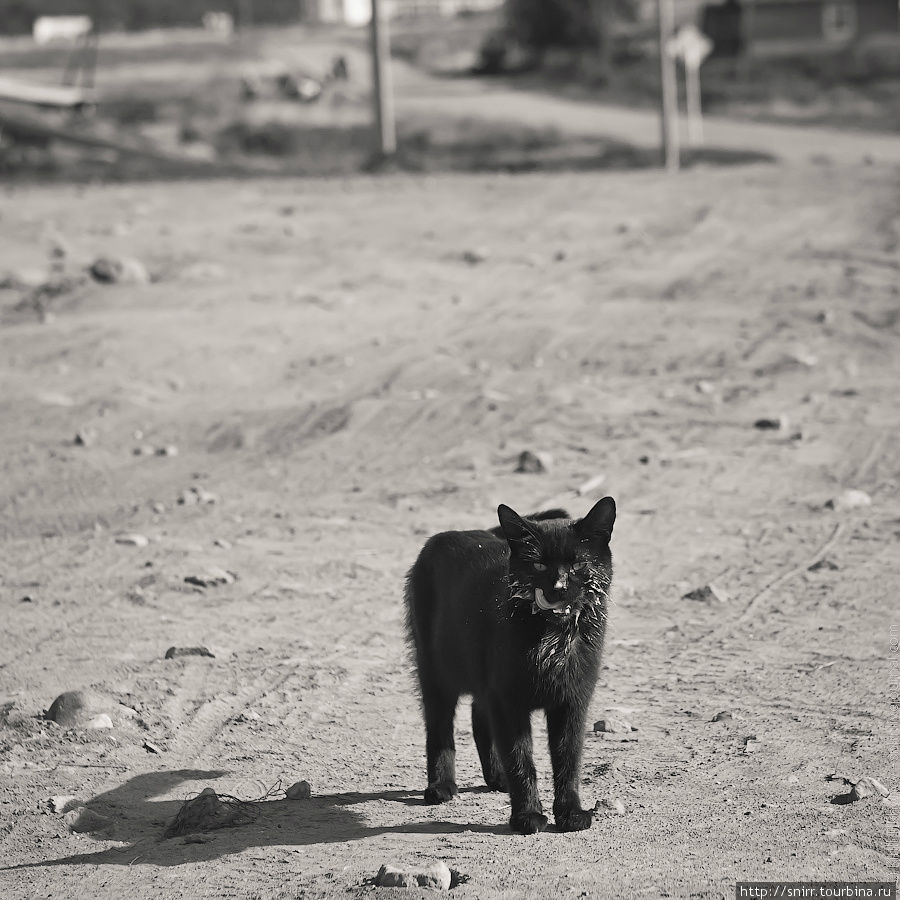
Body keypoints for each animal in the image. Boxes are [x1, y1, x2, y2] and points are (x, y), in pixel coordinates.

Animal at [404, 496, 616, 832]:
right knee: (439, 725)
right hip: (435, 670)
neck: (552, 638)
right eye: (539, 564)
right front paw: (527, 816)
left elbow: (568, 759)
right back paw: (441, 786)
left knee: (479, 718)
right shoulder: (507, 700)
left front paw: (570, 813)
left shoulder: (572, 701)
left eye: (578, 565)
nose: (558, 587)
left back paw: (496, 778)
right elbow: (521, 760)